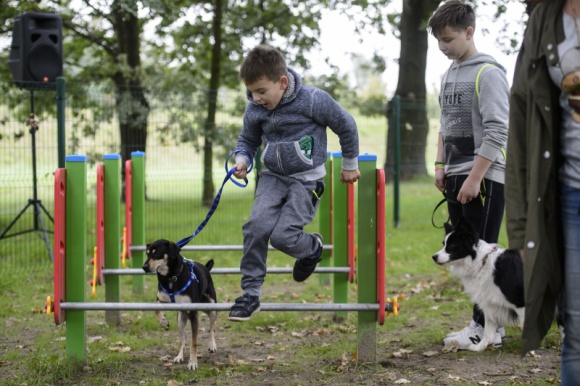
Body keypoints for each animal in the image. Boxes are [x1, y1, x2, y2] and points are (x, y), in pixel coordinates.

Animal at [143, 238, 218, 370]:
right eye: (147, 254)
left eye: (157, 253)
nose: (144, 267)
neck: (170, 277)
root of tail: (205, 268)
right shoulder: (161, 299)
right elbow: (156, 309)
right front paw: (163, 322)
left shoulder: (193, 314)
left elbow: (194, 342)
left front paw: (193, 362)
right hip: (180, 319)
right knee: (182, 339)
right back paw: (179, 356)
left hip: (211, 307)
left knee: (211, 328)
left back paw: (212, 344)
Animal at [430, 216, 524, 352]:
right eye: (444, 244)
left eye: (452, 245)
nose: (434, 257)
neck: (482, 262)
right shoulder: (490, 303)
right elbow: (488, 331)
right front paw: (480, 346)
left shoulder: (520, 302)